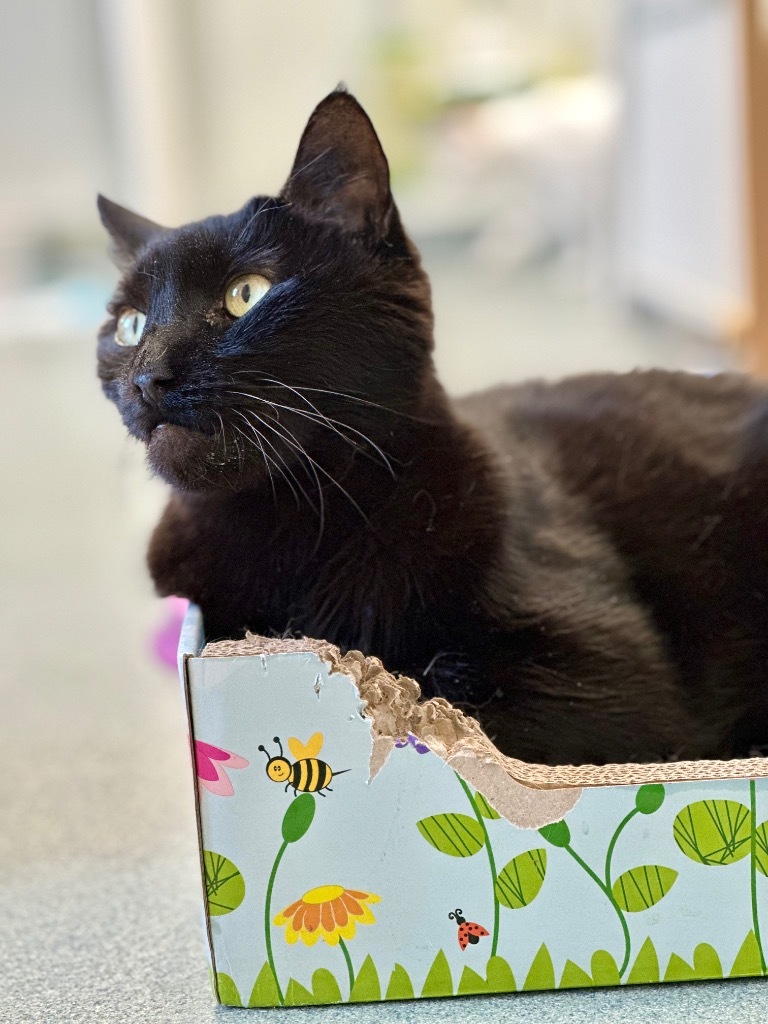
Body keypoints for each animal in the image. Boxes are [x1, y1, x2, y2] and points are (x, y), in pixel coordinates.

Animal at [97, 88, 768, 765]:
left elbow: (440, 699)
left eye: (247, 293)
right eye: (128, 325)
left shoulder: (613, 688)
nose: (147, 375)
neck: (290, 523)